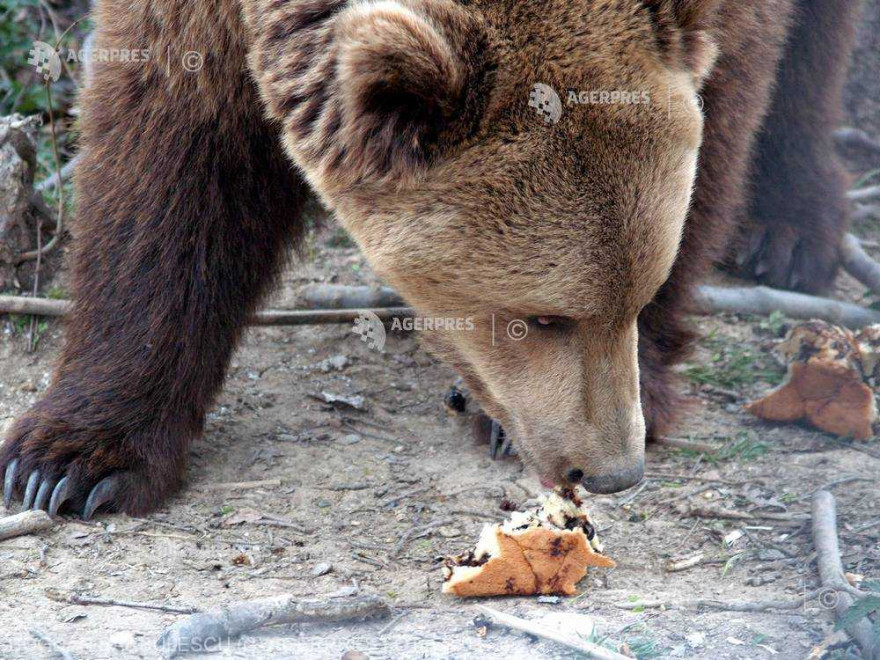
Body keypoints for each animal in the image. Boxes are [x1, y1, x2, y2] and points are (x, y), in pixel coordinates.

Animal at [0, 0, 860, 516]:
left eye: (640, 295)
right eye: (541, 316)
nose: (612, 469)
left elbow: (728, 109)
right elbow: (171, 154)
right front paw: (69, 462)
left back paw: (792, 227)